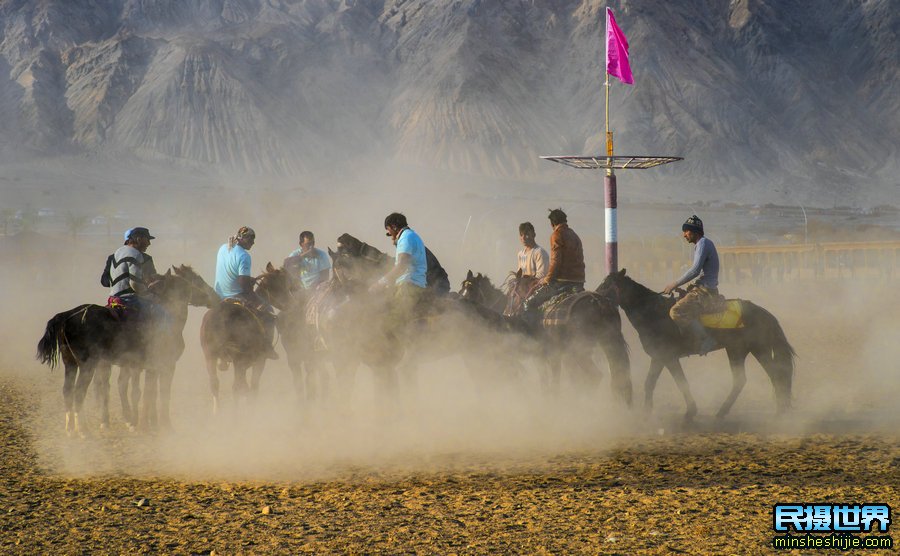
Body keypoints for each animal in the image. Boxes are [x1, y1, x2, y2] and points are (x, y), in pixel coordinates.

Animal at [35, 266, 220, 438]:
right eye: (194, 280)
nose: (213, 297)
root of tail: (66, 316)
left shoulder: (149, 368)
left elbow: (148, 393)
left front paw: (147, 424)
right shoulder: (166, 365)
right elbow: (160, 394)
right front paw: (164, 426)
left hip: (71, 364)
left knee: (68, 391)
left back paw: (71, 429)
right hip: (88, 365)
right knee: (80, 392)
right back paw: (84, 430)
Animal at [458, 270, 632, 404]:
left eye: (512, 294)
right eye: (460, 291)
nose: (464, 310)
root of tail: (599, 303)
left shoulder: (543, 355)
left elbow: (547, 379)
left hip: (579, 351)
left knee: (593, 376)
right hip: (607, 343)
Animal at [596, 270, 796, 422]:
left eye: (607, 284)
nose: (595, 296)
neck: (654, 313)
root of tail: (764, 313)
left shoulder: (669, 357)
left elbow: (681, 383)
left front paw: (690, 412)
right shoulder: (658, 357)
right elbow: (650, 383)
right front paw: (646, 413)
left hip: (753, 350)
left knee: (774, 375)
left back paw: (778, 412)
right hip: (741, 351)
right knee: (748, 379)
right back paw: (726, 412)